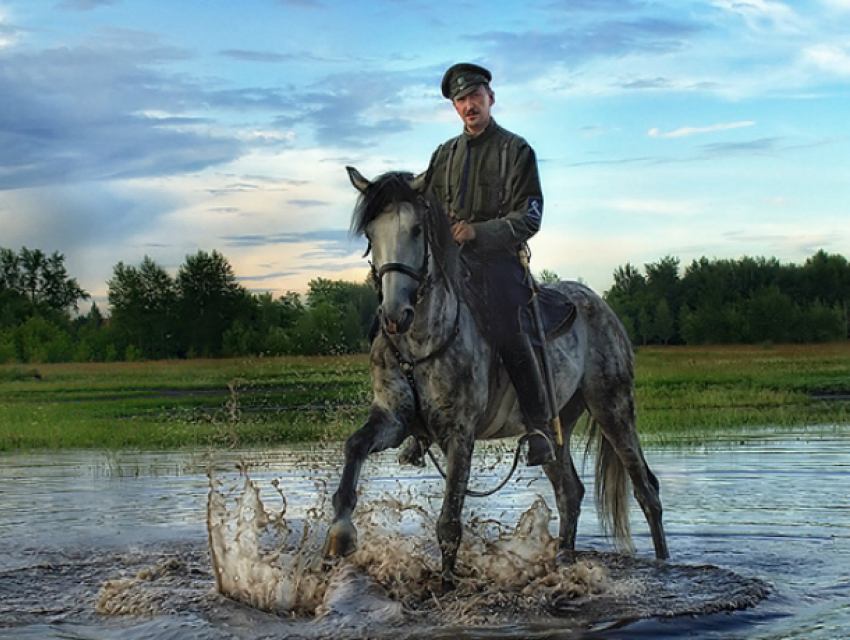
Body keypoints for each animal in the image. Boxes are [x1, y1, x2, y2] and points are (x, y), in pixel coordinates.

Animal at [328, 168, 664, 584]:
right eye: (371, 233)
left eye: (417, 230)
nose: (394, 314)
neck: (419, 343)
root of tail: (600, 304)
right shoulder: (392, 419)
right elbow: (354, 446)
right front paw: (340, 534)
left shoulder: (460, 433)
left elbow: (449, 524)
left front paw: (447, 585)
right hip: (556, 427)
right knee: (570, 492)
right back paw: (563, 561)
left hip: (612, 407)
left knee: (646, 491)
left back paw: (665, 564)